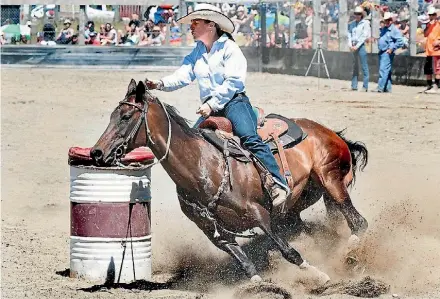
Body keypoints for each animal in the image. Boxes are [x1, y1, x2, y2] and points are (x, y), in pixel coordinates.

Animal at [91, 80, 370, 288]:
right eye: (112, 115)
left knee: (359, 223)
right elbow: (246, 265)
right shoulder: (216, 233)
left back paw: (350, 254)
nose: (96, 153)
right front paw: (261, 286)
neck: (202, 166)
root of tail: (328, 131)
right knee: (317, 228)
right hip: (298, 206)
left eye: (126, 116)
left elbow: (287, 251)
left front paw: (319, 275)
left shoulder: (260, 215)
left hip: (331, 181)